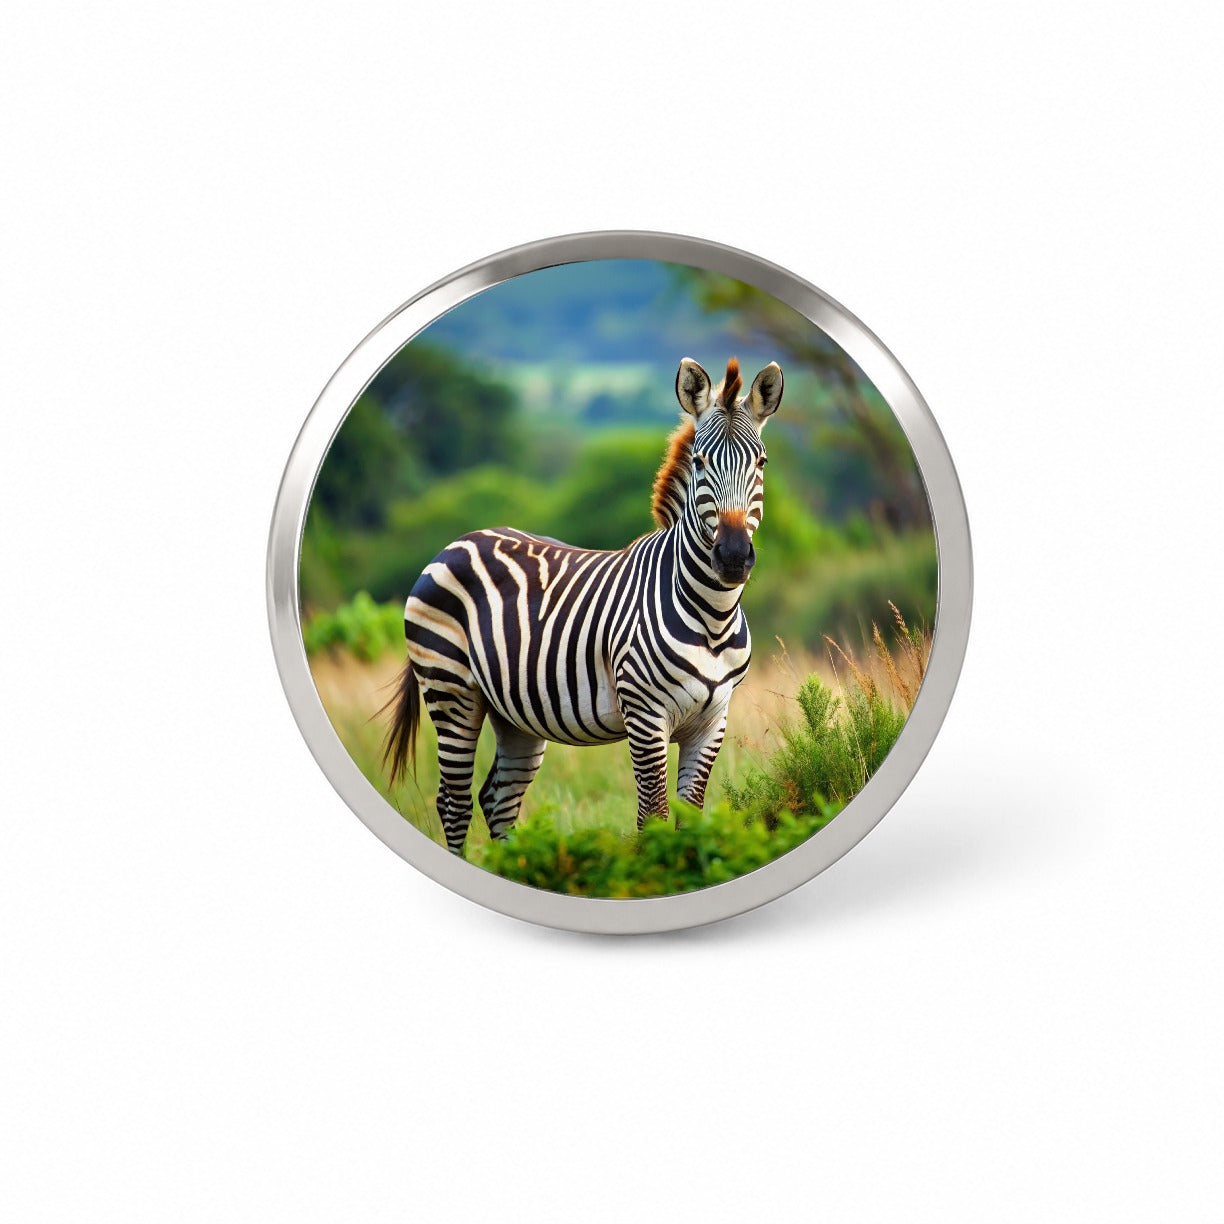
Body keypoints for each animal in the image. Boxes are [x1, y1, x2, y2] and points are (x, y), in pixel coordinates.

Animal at [382, 355, 784, 854]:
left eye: (761, 462)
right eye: (699, 461)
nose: (731, 556)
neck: (712, 615)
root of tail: (457, 542)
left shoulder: (712, 721)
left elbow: (689, 820)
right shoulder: (645, 715)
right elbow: (652, 817)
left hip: (514, 713)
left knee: (498, 798)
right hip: (451, 690)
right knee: (453, 804)